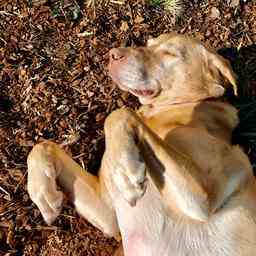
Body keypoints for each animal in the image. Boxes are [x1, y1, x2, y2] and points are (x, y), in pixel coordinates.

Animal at [26, 33, 256, 254]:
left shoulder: (203, 200)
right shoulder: (110, 217)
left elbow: (118, 113)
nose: (113, 54)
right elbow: (42, 146)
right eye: (148, 43)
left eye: (170, 54)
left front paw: (125, 168)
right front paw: (42, 193)